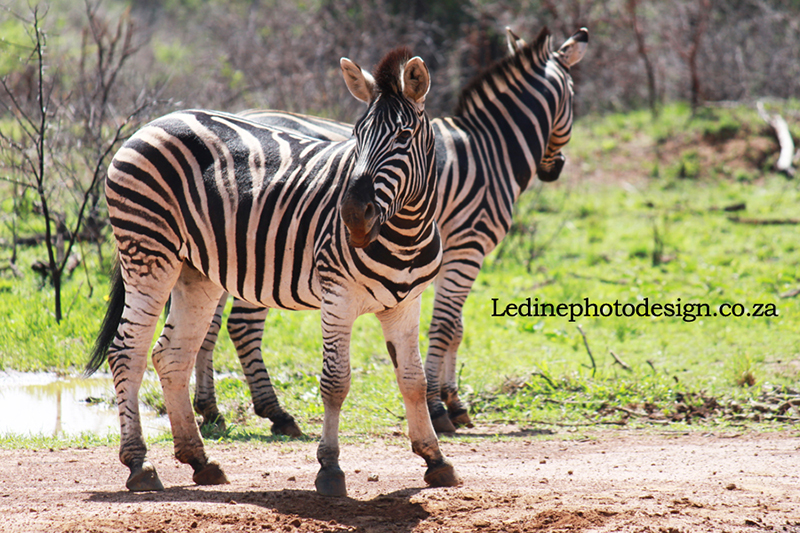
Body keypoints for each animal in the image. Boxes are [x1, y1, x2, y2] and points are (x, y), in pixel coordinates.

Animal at [86, 47, 462, 496]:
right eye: (357, 134)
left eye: (403, 136)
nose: (352, 215)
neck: (404, 232)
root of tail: (152, 123)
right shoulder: (337, 297)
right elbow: (335, 382)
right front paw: (330, 469)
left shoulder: (406, 304)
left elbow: (413, 381)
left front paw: (435, 459)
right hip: (148, 253)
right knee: (127, 351)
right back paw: (139, 465)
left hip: (196, 273)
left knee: (171, 355)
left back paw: (199, 460)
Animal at [193, 26, 589, 435]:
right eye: (573, 95)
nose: (554, 169)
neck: (491, 150)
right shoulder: (467, 247)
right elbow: (445, 326)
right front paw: (439, 408)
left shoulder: (445, 257)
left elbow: (456, 328)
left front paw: (454, 402)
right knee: (242, 324)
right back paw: (274, 412)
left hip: (225, 248)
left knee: (210, 325)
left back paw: (210, 409)